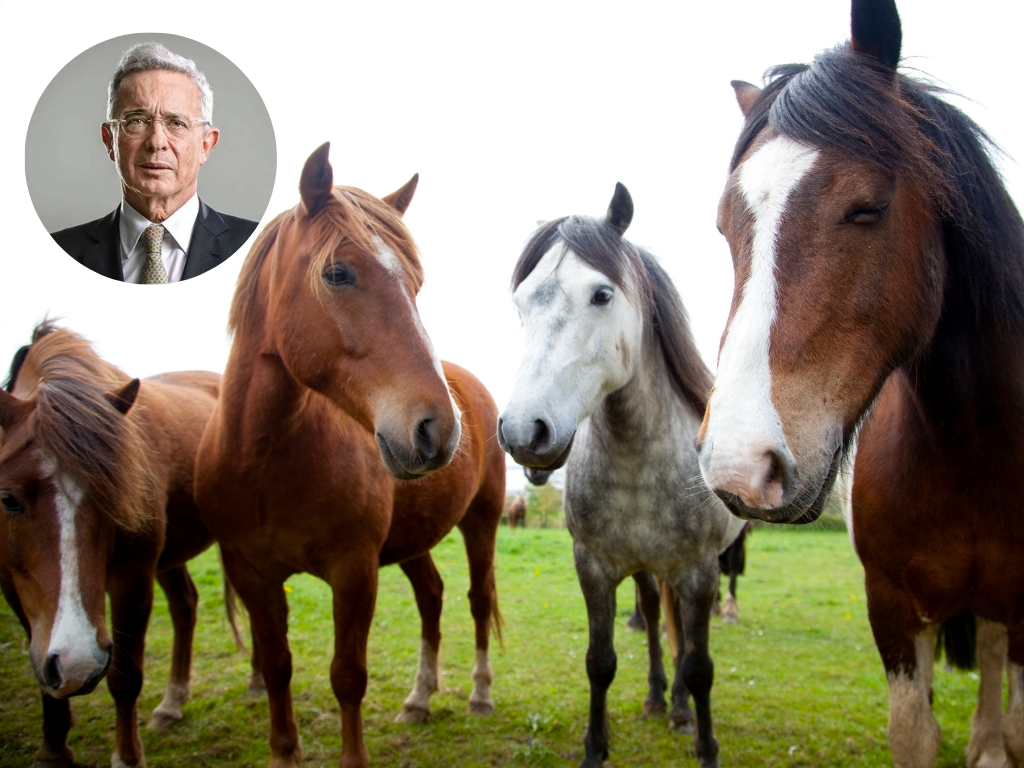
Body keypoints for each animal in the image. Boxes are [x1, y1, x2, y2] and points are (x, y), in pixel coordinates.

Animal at [0, 322, 231, 768]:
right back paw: (173, 703)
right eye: (7, 499)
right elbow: (42, 673)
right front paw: (53, 750)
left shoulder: (131, 580)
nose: (77, 664)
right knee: (186, 605)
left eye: (114, 491)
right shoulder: (15, 590)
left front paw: (127, 756)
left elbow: (125, 676)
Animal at [194, 142, 505, 768]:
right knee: (433, 598)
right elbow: (277, 667)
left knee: (477, 598)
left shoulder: (354, 571)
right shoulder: (251, 574)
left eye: (415, 283)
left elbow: (347, 677)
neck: (265, 463)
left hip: (481, 522)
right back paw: (419, 698)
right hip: (415, 538)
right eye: (338, 274)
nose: (439, 430)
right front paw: (283, 752)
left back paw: (480, 694)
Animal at [498, 184, 746, 768]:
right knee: (656, 618)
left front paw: (706, 746)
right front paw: (595, 748)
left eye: (602, 295)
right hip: (644, 569)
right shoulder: (594, 567)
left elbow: (700, 667)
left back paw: (678, 706)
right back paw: (659, 697)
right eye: (522, 303)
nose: (523, 432)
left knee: (680, 632)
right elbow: (600, 661)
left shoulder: (699, 571)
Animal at [696, 0, 1024, 765]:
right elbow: (915, 732)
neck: (974, 452)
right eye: (727, 228)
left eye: (867, 207)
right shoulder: (894, 609)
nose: (738, 467)